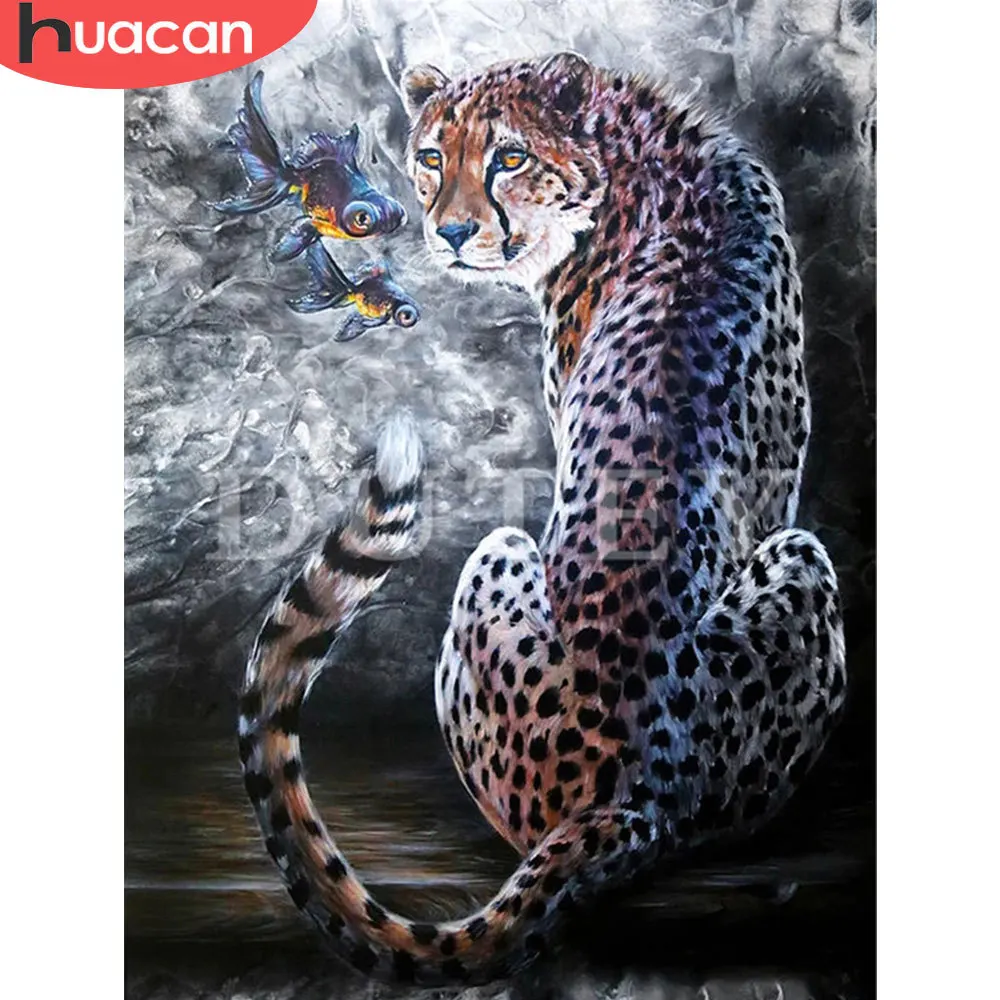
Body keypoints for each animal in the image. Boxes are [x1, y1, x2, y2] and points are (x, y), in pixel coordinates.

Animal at [236, 52, 848, 985]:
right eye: (430, 157)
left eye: (510, 158)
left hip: (529, 553)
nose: (451, 234)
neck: (640, 152)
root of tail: (636, 795)